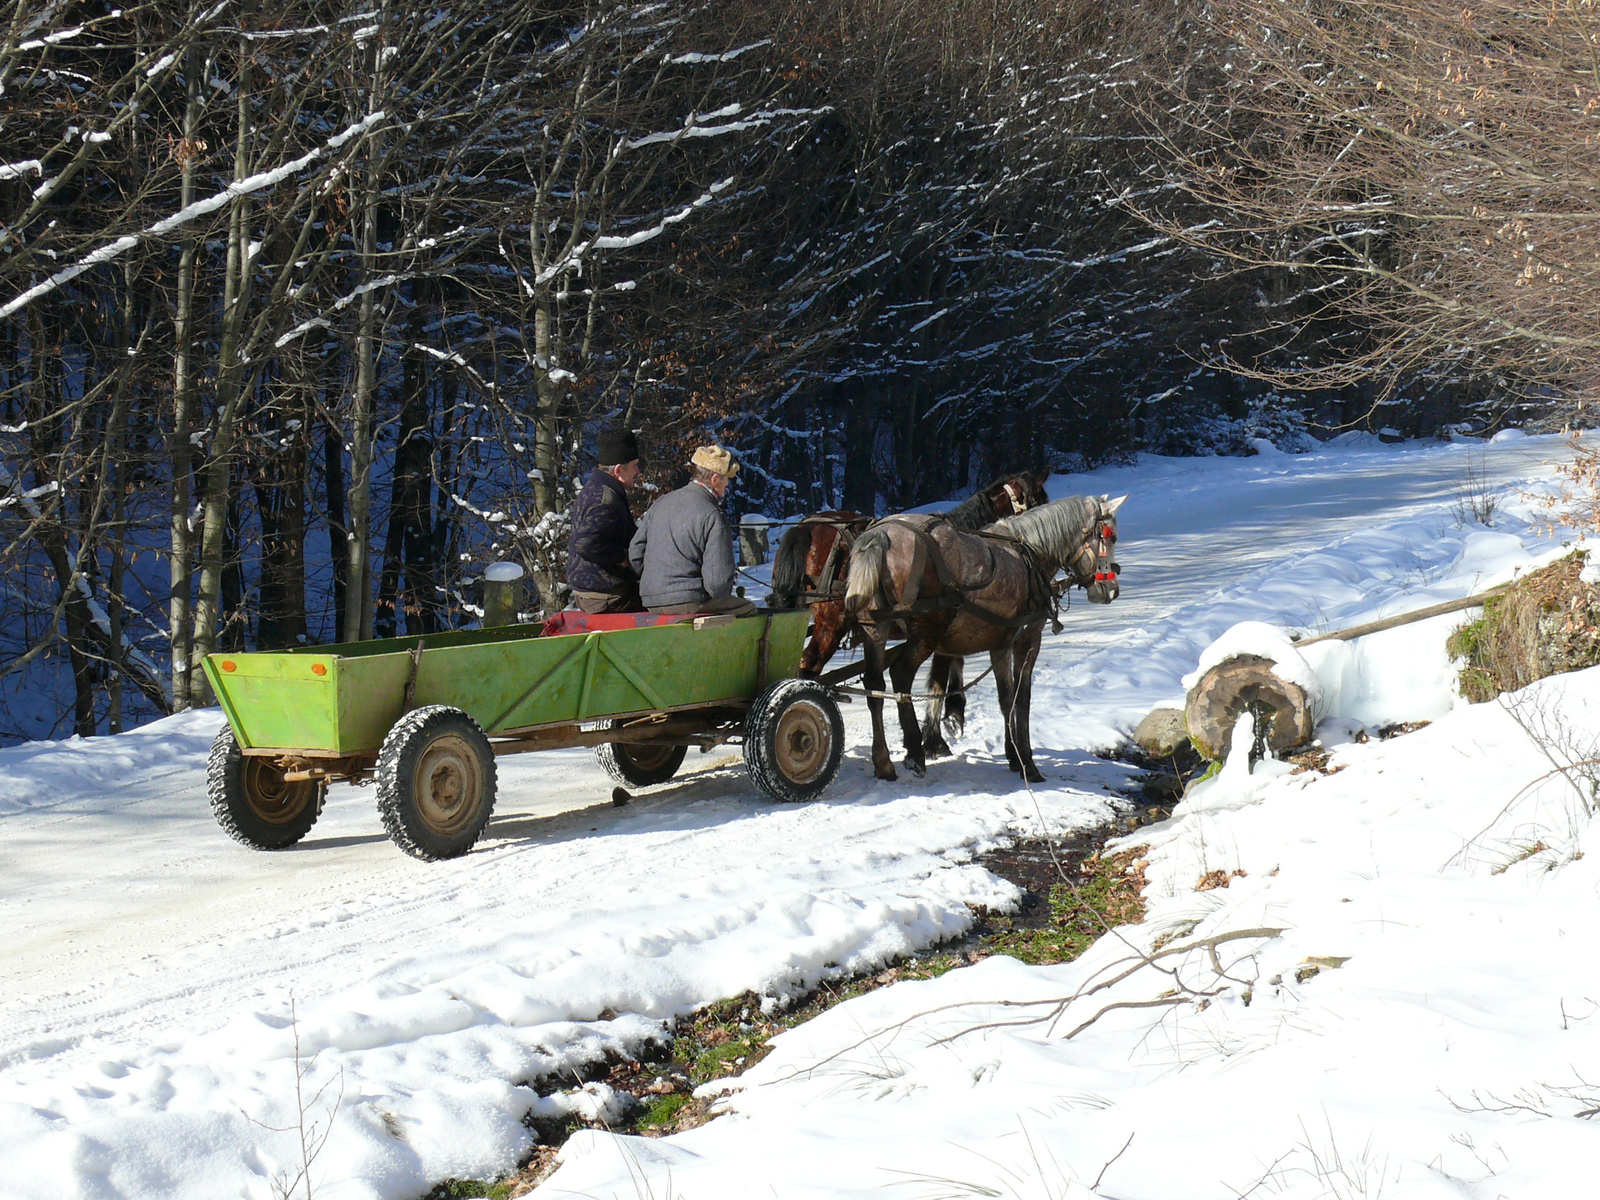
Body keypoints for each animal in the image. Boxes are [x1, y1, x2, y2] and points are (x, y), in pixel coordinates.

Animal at [838, 492, 1126, 784]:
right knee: (900, 674)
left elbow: (995, 696)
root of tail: (882, 533)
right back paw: (914, 751)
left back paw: (883, 762)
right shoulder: (1022, 642)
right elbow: (1017, 700)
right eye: (1112, 537)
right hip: (927, 631)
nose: (1112, 590)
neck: (1030, 555)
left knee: (875, 686)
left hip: (875, 628)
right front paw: (1025, 760)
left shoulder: (992, 646)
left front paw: (1013, 753)